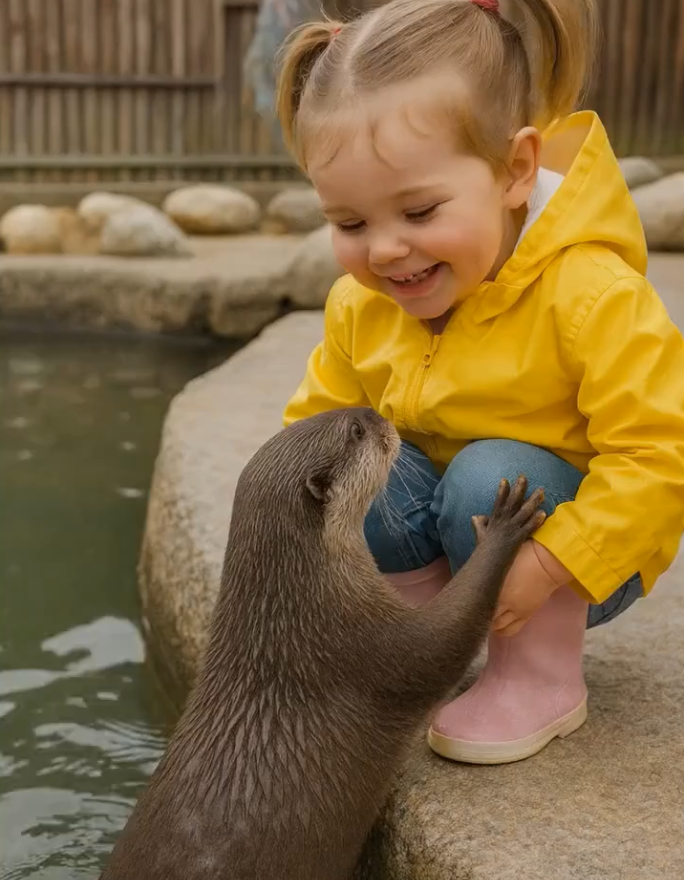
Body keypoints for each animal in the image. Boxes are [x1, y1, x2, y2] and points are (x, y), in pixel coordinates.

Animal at [100, 407, 545, 880]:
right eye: (357, 430)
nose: (378, 413)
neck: (298, 603)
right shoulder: (361, 641)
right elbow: (443, 640)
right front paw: (502, 527)